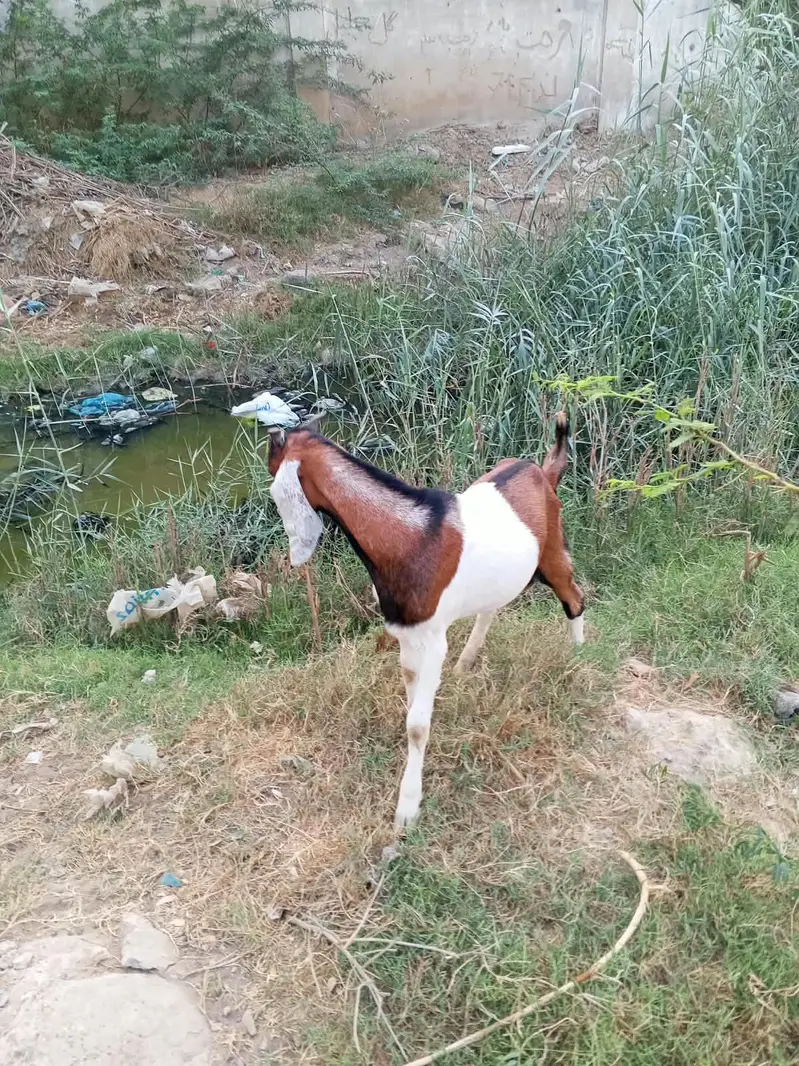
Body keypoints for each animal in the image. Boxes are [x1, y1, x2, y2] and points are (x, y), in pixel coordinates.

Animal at [267, 414, 584, 830]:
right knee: (493, 606)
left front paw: (407, 810)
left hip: (552, 552)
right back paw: (467, 662)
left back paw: (578, 660)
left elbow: (417, 726)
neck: (411, 535)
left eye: (272, 458)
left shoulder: (433, 639)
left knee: (574, 598)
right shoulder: (406, 632)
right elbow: (412, 699)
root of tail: (542, 472)